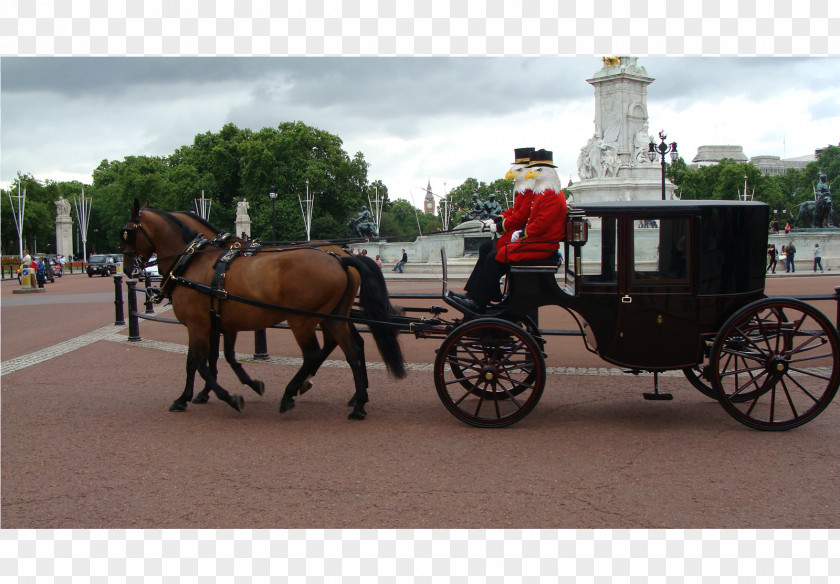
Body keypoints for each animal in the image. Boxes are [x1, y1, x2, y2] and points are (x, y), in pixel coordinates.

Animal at [122, 202, 406, 420]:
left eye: (126, 233)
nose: (127, 269)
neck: (193, 260)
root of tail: (341, 257)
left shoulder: (198, 325)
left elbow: (197, 362)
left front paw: (220, 397)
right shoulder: (221, 323)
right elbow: (219, 358)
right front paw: (210, 392)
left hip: (302, 320)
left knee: (314, 353)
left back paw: (292, 393)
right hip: (333, 318)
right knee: (353, 349)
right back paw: (358, 403)